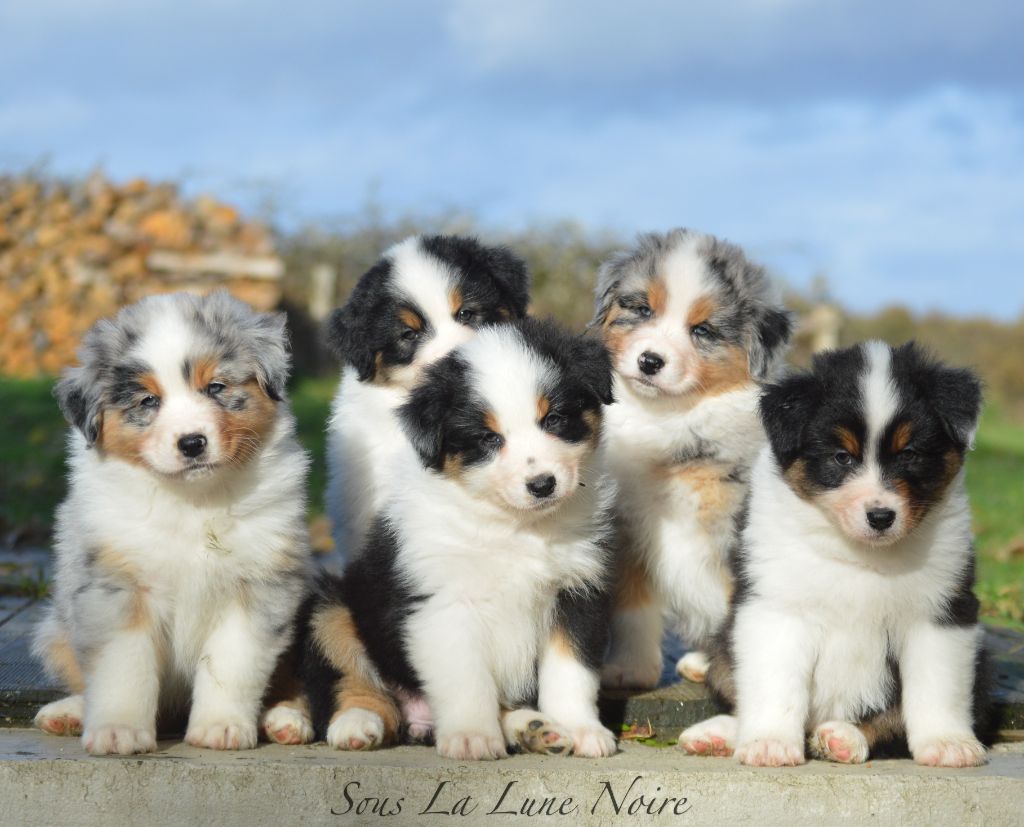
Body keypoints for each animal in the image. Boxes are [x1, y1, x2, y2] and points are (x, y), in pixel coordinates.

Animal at [34, 290, 309, 757]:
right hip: (56, 628)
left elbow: (231, 664)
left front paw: (220, 728)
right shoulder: (118, 585)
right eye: (148, 402)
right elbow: (123, 668)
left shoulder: (255, 586)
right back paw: (67, 713)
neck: (193, 502)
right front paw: (118, 732)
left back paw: (285, 719)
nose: (192, 443)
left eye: (215, 388)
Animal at [301, 319, 614, 757]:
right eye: (488, 439)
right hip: (332, 606)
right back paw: (357, 723)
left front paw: (582, 729)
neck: (515, 526)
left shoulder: (576, 589)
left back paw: (535, 728)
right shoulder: (445, 603)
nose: (542, 485)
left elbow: (571, 670)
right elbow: (467, 678)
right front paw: (471, 737)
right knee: (353, 680)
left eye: (554, 420)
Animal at [593, 229, 790, 687]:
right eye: (642, 309)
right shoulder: (629, 529)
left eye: (702, 330)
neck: (669, 417)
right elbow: (633, 608)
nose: (650, 361)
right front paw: (629, 671)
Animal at [679, 341, 991, 769]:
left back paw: (842, 737)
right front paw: (769, 743)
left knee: (883, 721)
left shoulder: (942, 611)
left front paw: (947, 743)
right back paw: (717, 734)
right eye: (842, 456)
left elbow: (936, 687)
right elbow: (774, 683)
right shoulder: (776, 607)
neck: (860, 553)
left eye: (909, 454)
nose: (881, 517)